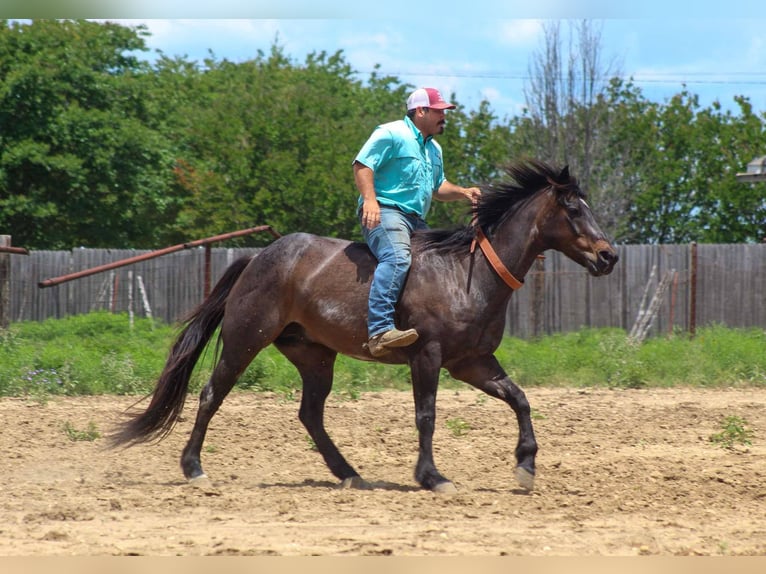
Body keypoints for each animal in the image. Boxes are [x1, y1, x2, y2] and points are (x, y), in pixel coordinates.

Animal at [110, 159, 618, 493]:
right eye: (573, 208)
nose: (609, 256)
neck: (467, 274)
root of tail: (258, 257)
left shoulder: (472, 362)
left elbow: (520, 399)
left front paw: (526, 467)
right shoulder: (428, 356)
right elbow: (427, 415)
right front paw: (432, 477)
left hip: (314, 356)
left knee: (310, 414)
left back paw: (349, 474)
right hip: (244, 340)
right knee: (211, 394)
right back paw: (194, 468)